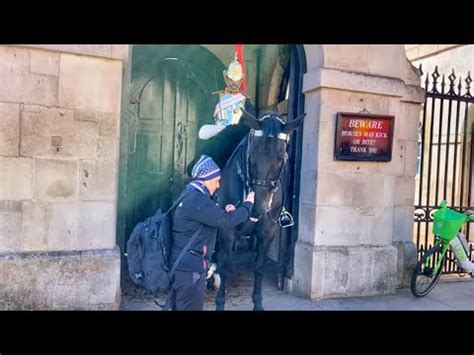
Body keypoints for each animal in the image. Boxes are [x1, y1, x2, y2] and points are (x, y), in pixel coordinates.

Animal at [214, 109, 304, 312]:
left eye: (281, 159)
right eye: (252, 156)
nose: (258, 207)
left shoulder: (268, 232)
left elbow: (259, 266)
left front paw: (258, 303)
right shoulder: (226, 229)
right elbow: (225, 265)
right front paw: (220, 302)